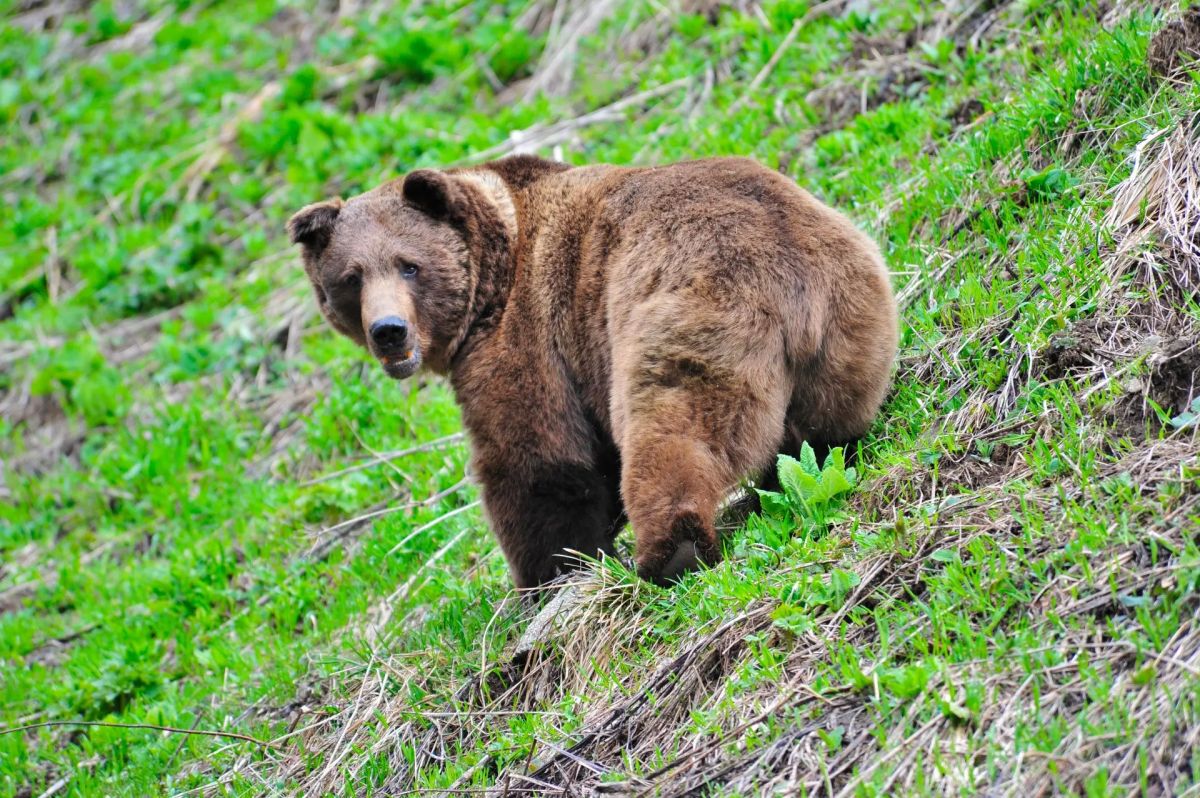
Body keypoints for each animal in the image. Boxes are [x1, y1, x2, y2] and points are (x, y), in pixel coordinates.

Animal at [288, 155, 898, 589]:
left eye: (409, 266)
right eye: (351, 277)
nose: (388, 331)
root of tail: (794, 283)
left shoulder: (528, 340)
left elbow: (538, 462)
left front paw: (545, 576)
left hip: (683, 310)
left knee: (673, 427)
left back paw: (669, 553)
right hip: (855, 323)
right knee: (826, 430)